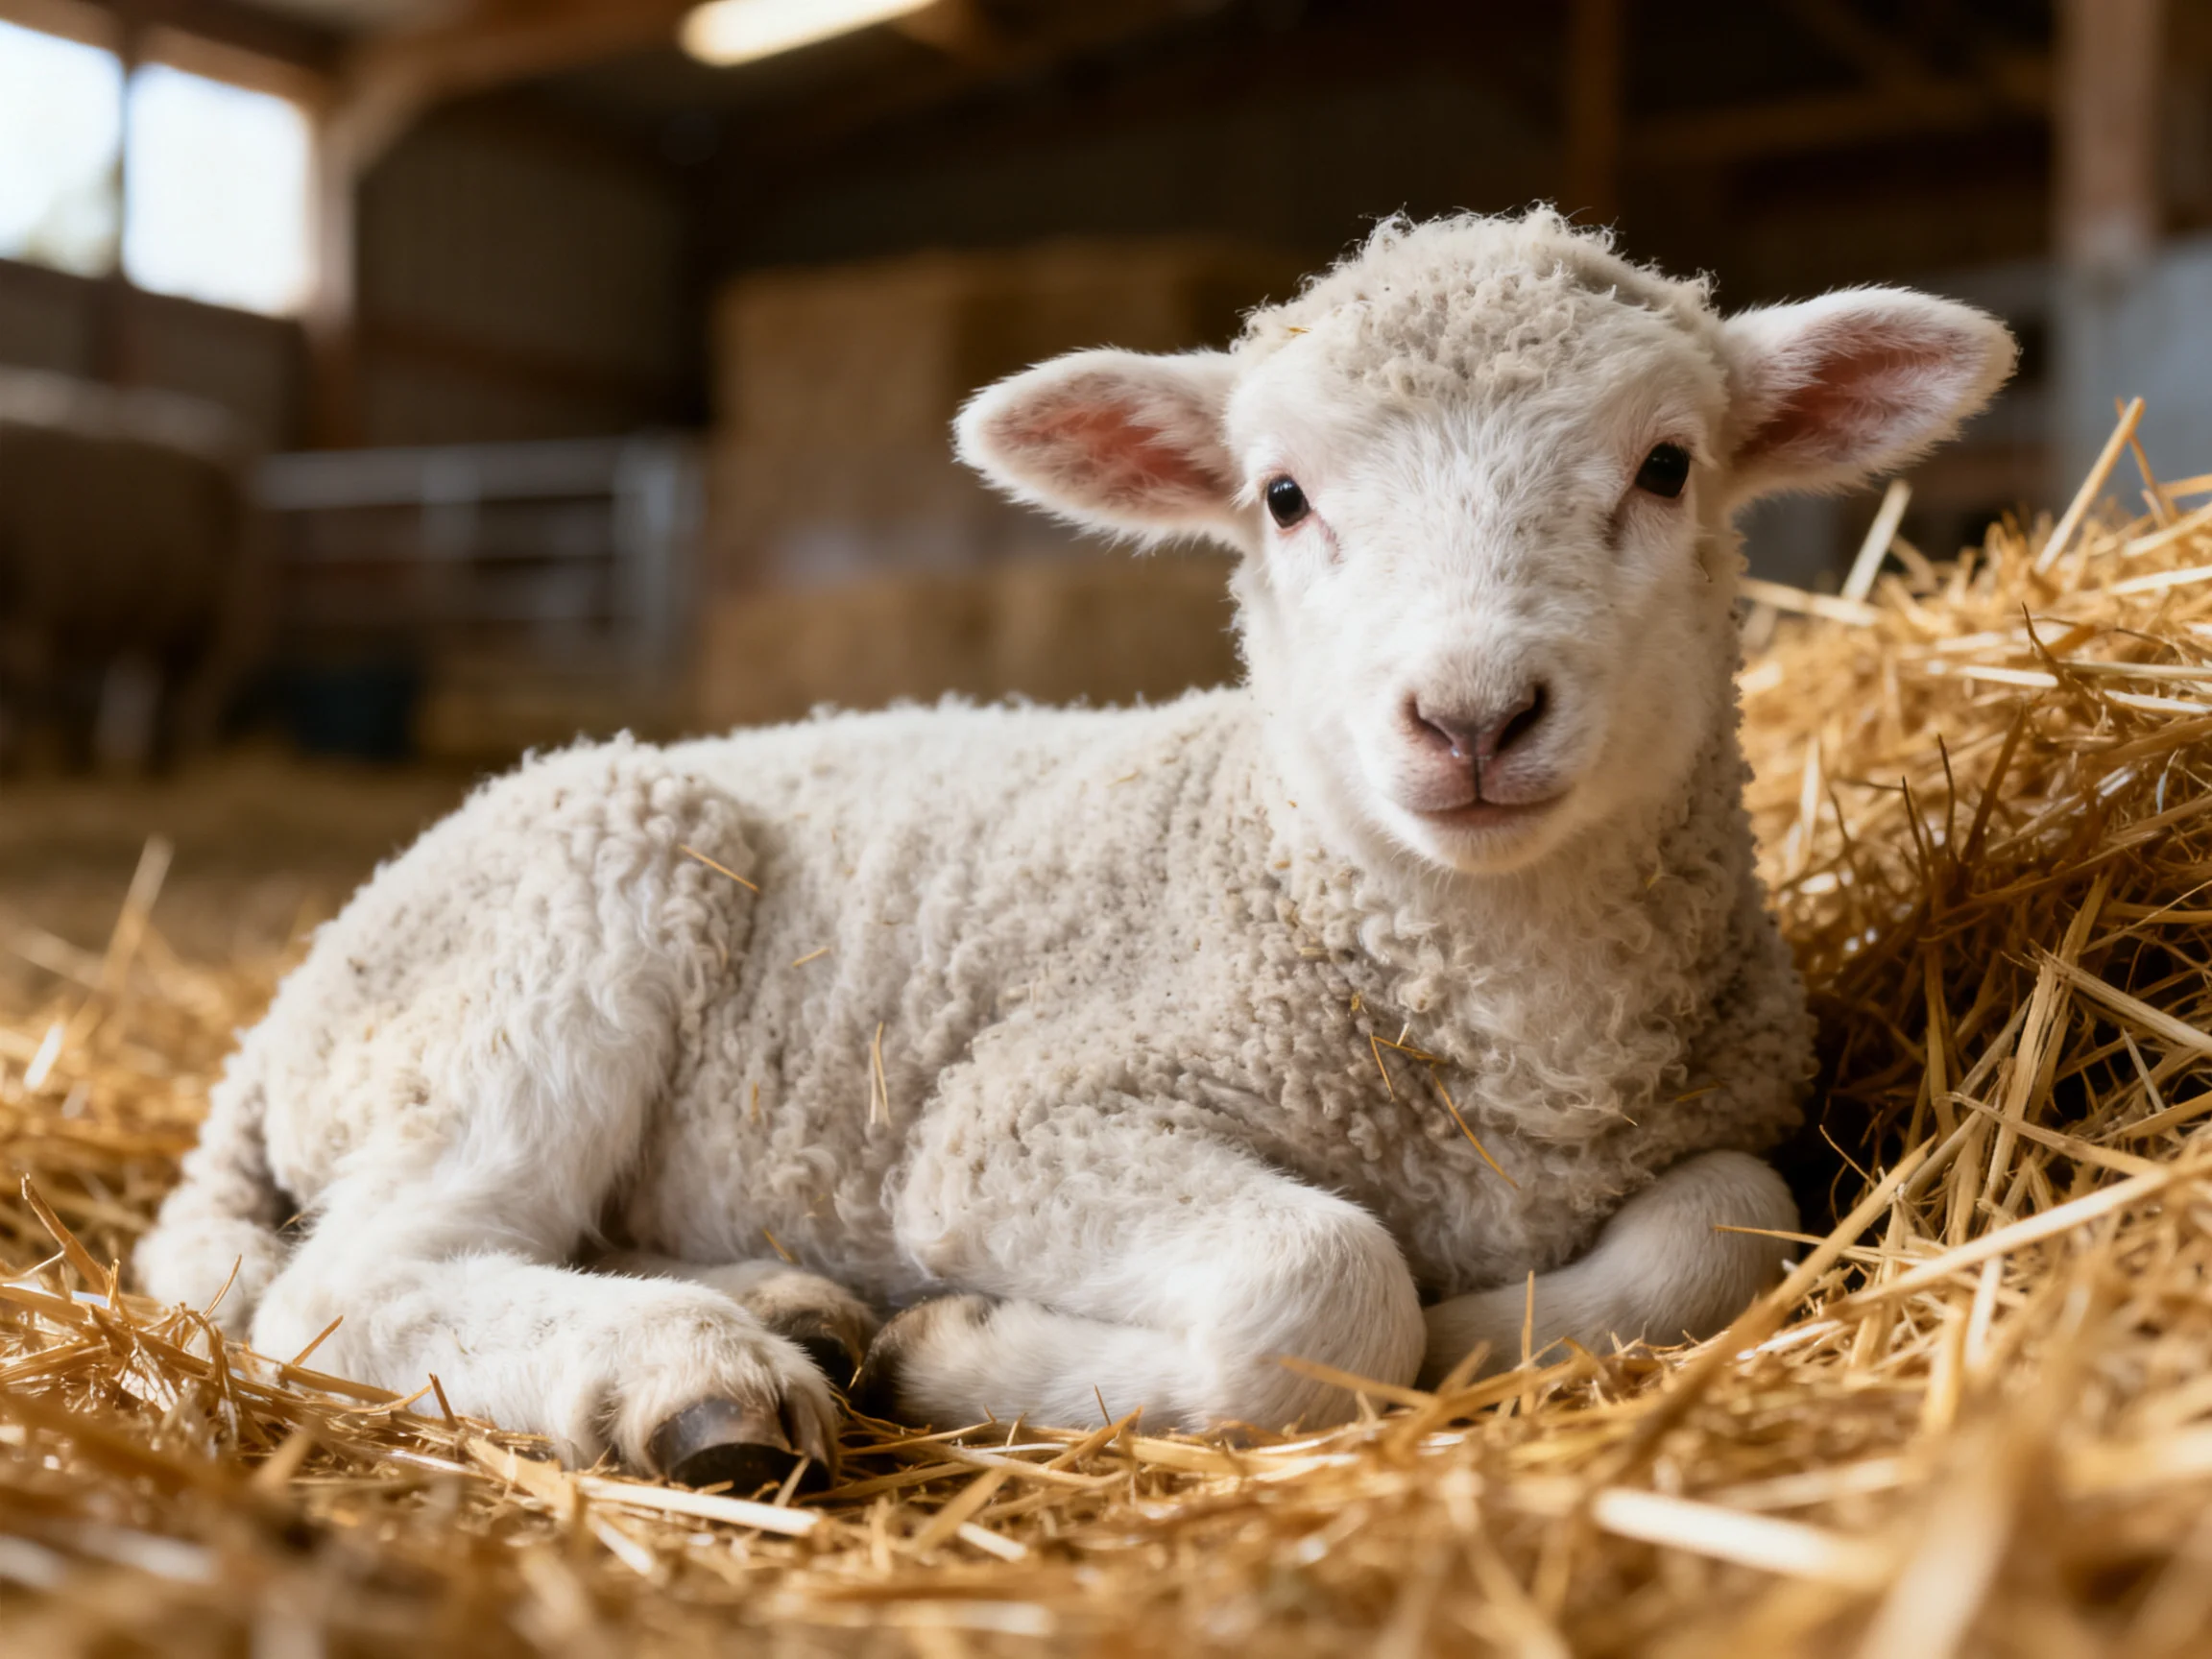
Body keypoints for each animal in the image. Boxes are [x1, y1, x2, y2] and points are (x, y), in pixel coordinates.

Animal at [136, 210, 2015, 1488]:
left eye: (1665, 465)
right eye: (1281, 498)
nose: (1471, 716)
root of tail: (274, 1020)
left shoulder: (1728, 1109)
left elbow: (1731, 1229)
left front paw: (1496, 1326)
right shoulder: (1016, 1122)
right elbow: (1326, 1286)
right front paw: (978, 1349)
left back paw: (782, 1307)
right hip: (560, 921)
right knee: (355, 1285)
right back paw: (693, 1374)